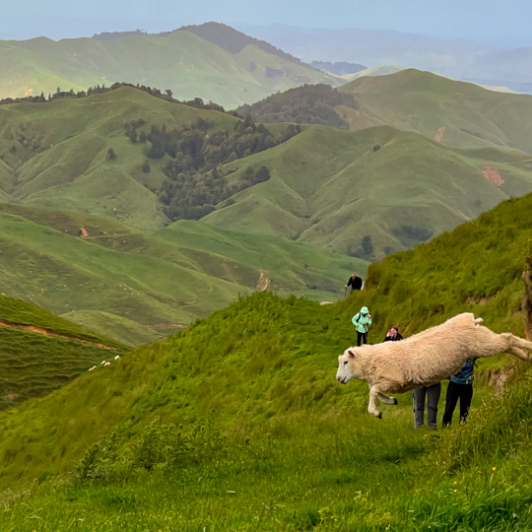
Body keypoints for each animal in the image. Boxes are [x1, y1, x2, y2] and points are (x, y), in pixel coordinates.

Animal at [334, 312, 532, 420]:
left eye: (345, 362)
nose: (339, 379)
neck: (372, 360)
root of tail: (470, 319)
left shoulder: (394, 380)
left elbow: (373, 391)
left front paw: (375, 411)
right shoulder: (390, 383)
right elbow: (376, 391)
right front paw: (390, 402)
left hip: (480, 343)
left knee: (508, 339)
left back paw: (529, 349)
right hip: (481, 340)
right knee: (508, 343)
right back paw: (525, 356)